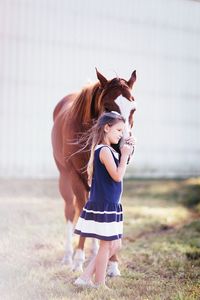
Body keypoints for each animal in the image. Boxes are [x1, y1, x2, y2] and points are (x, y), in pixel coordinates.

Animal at [50, 68, 137, 274]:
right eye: (107, 106)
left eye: (133, 109)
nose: (125, 148)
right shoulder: (75, 176)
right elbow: (82, 208)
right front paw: (78, 260)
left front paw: (112, 263)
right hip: (65, 179)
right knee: (70, 210)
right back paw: (69, 256)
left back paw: (97, 251)